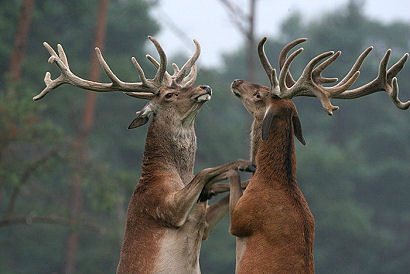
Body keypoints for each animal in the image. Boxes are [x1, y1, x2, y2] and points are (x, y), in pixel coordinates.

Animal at [32, 36, 251, 274]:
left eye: (183, 86)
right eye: (169, 94)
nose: (205, 86)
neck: (175, 176)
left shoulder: (203, 224)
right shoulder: (163, 207)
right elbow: (204, 172)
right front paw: (244, 164)